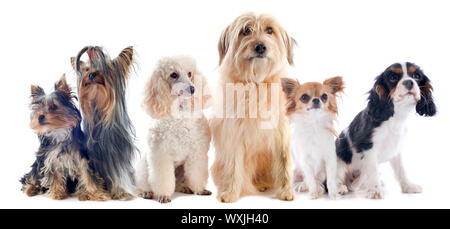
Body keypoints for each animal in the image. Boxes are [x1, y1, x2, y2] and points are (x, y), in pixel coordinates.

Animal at [70, 45, 136, 199]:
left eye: (106, 68)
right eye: (86, 69)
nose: (92, 75)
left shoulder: (118, 156)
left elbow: (119, 175)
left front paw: (121, 191)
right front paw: (89, 193)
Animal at [137, 55, 213, 202]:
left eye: (189, 73)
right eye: (173, 75)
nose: (192, 89)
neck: (180, 113)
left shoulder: (197, 151)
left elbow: (197, 173)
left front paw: (200, 189)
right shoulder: (160, 154)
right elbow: (162, 178)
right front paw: (163, 195)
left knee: (180, 183)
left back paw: (185, 187)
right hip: (144, 165)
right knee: (142, 183)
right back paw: (146, 192)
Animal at [210, 12, 298, 202]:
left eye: (269, 30)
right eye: (246, 30)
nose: (260, 47)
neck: (256, 83)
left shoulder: (281, 134)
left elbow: (284, 163)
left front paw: (286, 191)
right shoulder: (233, 134)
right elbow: (233, 165)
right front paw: (230, 192)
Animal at [338, 62, 436, 199]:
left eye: (416, 76)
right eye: (393, 78)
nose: (409, 82)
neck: (396, 116)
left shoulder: (396, 149)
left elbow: (401, 170)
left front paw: (408, 186)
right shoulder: (368, 147)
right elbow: (372, 169)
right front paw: (375, 191)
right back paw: (340, 188)